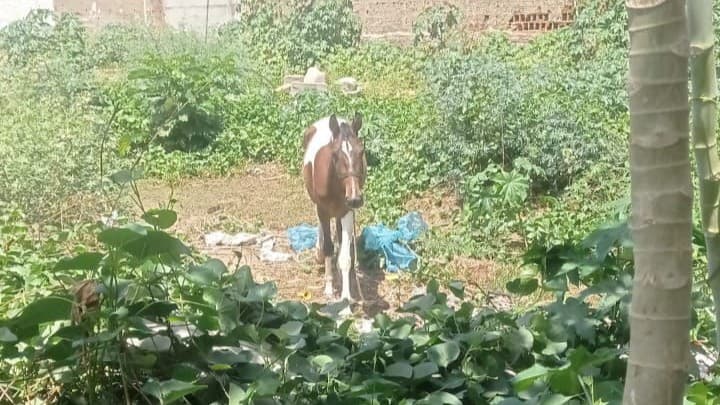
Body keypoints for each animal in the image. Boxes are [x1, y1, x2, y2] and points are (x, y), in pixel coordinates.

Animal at [302, 113, 367, 305]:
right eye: (335, 154)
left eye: (361, 151)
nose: (355, 198)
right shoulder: (322, 209)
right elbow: (329, 248)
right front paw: (329, 288)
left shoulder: (347, 212)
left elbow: (345, 256)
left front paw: (346, 296)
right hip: (319, 205)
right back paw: (318, 254)